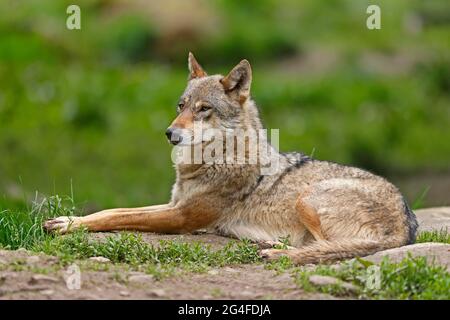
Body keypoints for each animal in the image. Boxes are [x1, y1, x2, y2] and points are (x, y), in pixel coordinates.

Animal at [43, 53, 418, 264]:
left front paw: (68, 225)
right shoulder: (174, 205)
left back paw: (276, 252)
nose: (169, 133)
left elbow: (116, 216)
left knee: (326, 248)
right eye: (181, 106)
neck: (208, 162)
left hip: (306, 197)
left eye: (203, 109)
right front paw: (68, 220)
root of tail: (406, 223)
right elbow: (113, 210)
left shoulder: (181, 217)